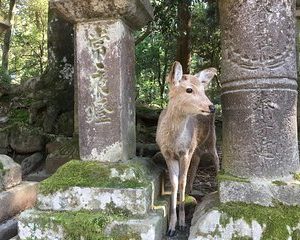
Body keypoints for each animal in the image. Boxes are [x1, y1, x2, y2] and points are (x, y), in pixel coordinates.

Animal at [156, 61, 219, 236]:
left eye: (203, 90)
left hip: (211, 139)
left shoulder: (185, 152)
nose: (212, 107)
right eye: (189, 89)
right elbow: (174, 183)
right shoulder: (167, 154)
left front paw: (182, 223)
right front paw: (171, 227)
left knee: (216, 157)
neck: (174, 141)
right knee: (198, 159)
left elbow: (181, 182)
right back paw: (191, 189)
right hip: (195, 147)